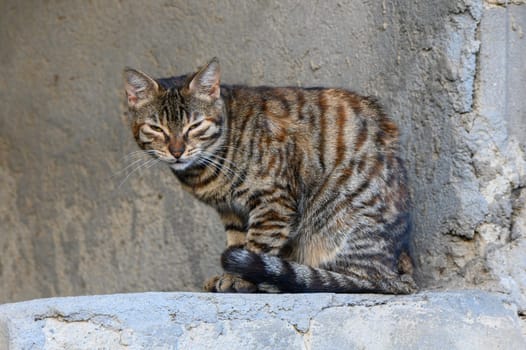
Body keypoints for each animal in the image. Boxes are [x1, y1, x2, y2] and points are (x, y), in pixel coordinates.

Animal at [126, 58, 418, 294]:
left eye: (195, 125)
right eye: (156, 128)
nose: (176, 151)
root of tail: (403, 273)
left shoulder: (273, 203)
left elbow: (256, 245)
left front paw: (239, 279)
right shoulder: (232, 212)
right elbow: (238, 242)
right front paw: (228, 276)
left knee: (356, 280)